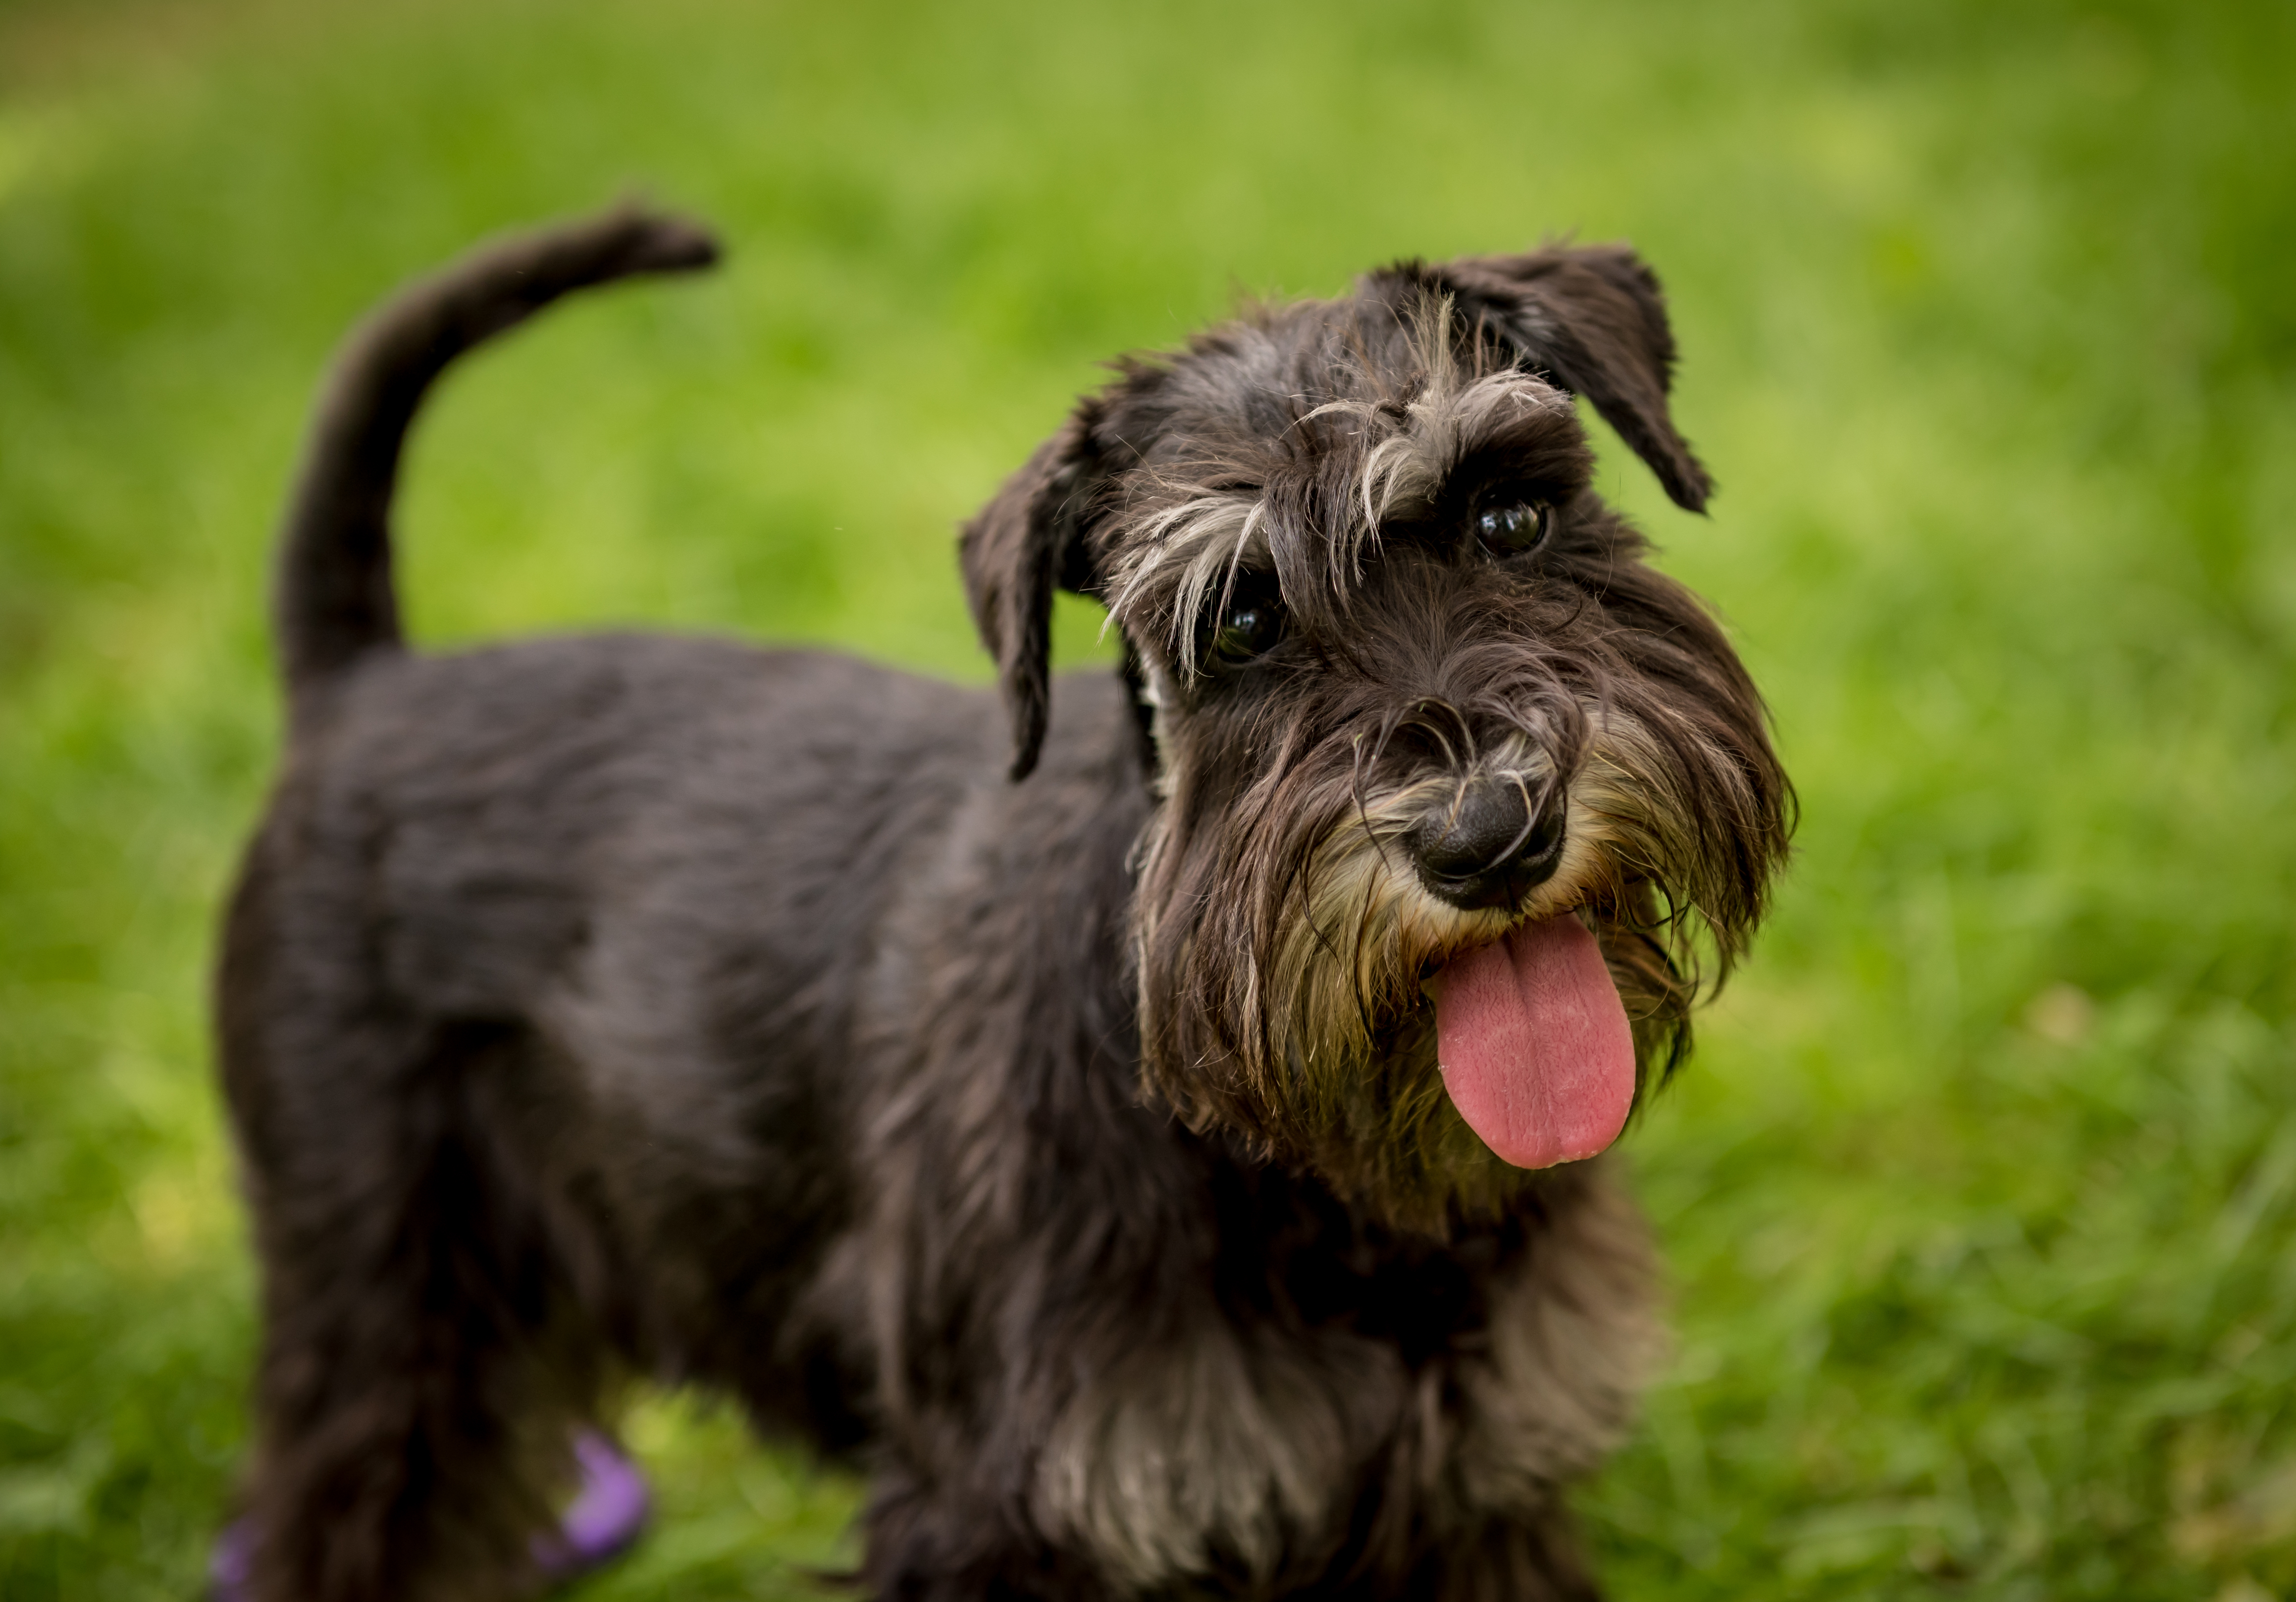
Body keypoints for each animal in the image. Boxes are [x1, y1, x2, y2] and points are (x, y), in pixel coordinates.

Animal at [215, 205, 1791, 1588]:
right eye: (1239, 620)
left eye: (1511, 514)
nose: (1486, 832)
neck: (1320, 1184)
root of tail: (363, 686)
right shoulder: (996, 1513)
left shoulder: (1472, 1492)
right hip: (387, 1316)